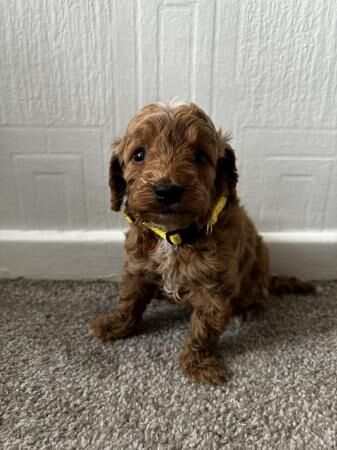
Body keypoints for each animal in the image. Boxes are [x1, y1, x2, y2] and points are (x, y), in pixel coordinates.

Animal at [90, 102, 316, 384]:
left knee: (256, 295)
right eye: (139, 155)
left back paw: (246, 310)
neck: (174, 235)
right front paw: (116, 325)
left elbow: (205, 327)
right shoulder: (137, 265)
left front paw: (198, 364)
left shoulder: (215, 286)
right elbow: (129, 299)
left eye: (200, 157)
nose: (167, 190)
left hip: (256, 273)